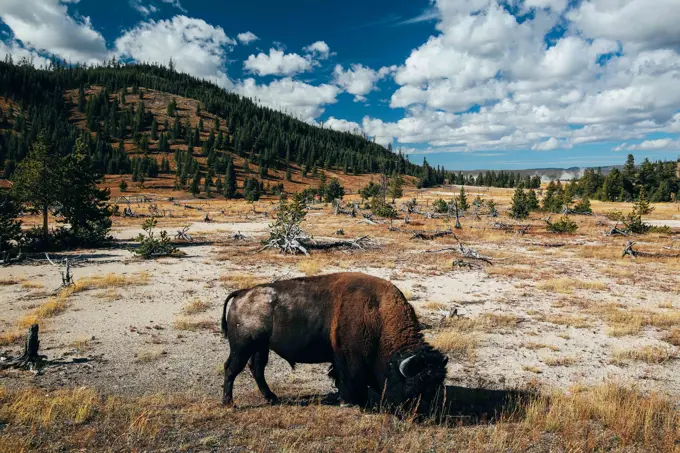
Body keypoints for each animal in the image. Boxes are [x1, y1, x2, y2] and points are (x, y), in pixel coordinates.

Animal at [220, 272, 448, 410]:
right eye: (414, 385)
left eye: (436, 385)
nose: (421, 412)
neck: (378, 315)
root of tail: (242, 293)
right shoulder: (348, 359)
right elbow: (348, 379)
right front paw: (350, 402)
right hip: (242, 347)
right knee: (231, 369)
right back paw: (228, 403)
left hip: (260, 347)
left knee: (256, 369)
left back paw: (271, 397)